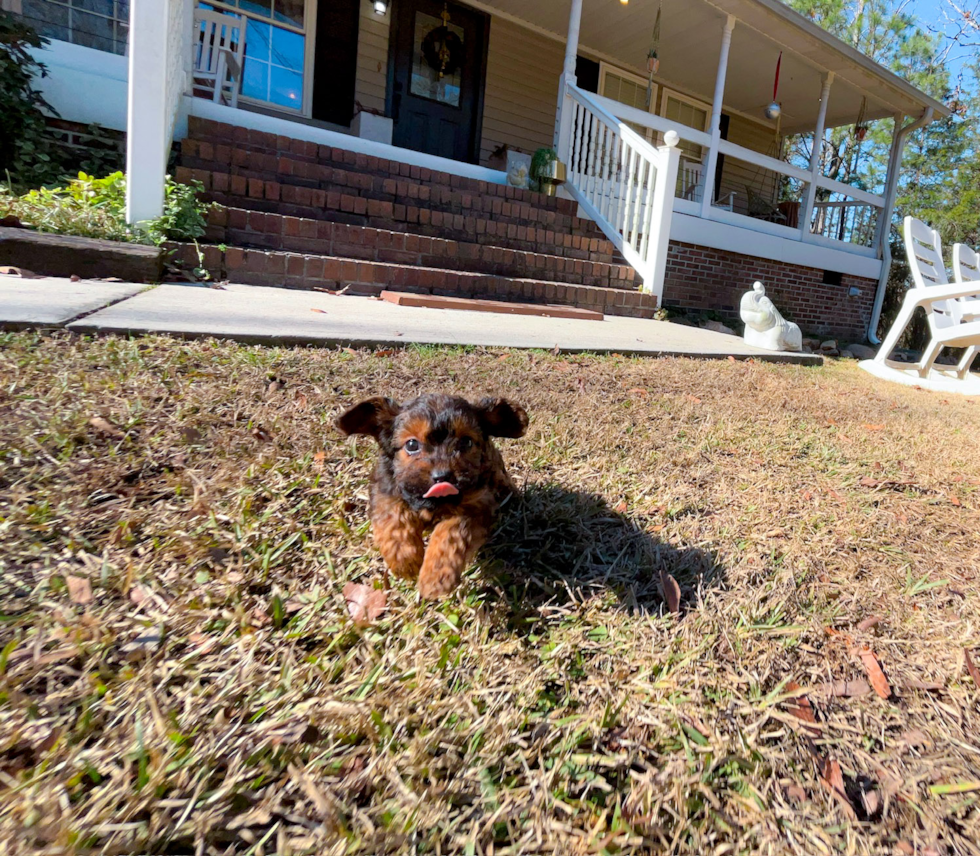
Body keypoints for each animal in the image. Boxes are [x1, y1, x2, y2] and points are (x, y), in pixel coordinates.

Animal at [336, 392, 528, 600]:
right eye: (412, 444)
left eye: (466, 442)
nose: (442, 476)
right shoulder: (385, 488)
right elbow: (393, 519)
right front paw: (405, 560)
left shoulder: (477, 504)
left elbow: (451, 534)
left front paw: (436, 577)